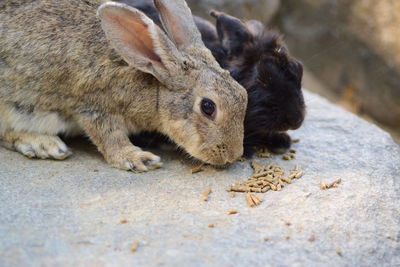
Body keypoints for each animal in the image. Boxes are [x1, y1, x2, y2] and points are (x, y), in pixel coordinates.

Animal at [0, 0, 247, 172]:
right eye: (208, 107)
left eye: (243, 93)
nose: (233, 155)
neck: (153, 85)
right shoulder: (93, 107)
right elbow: (110, 137)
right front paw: (138, 158)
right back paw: (45, 144)